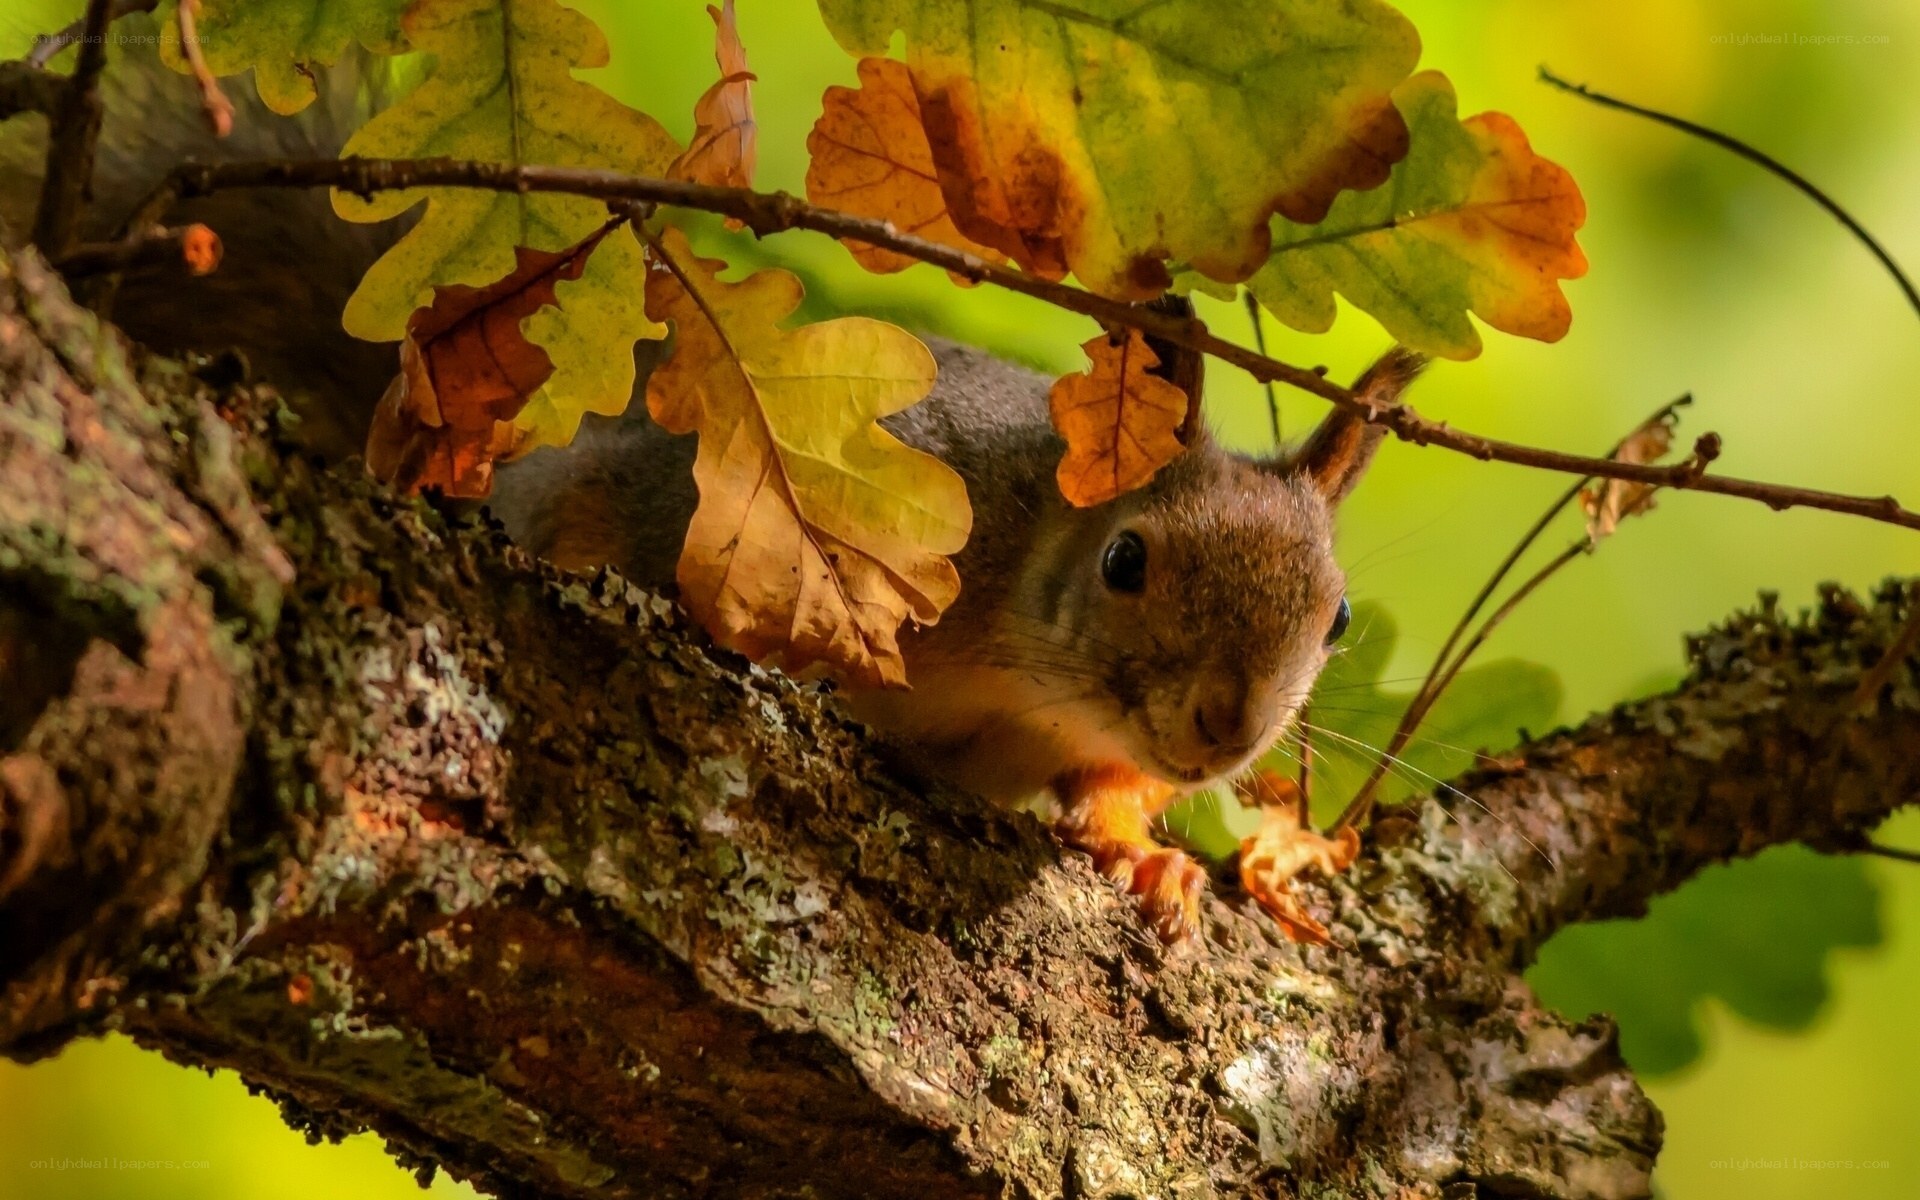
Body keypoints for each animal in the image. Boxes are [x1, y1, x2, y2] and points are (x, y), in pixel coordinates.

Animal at [2, 29, 1424, 942]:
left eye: (1339, 617)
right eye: (1129, 560)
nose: (1228, 729)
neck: (1025, 663)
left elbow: (1112, 797)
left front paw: (1150, 856)